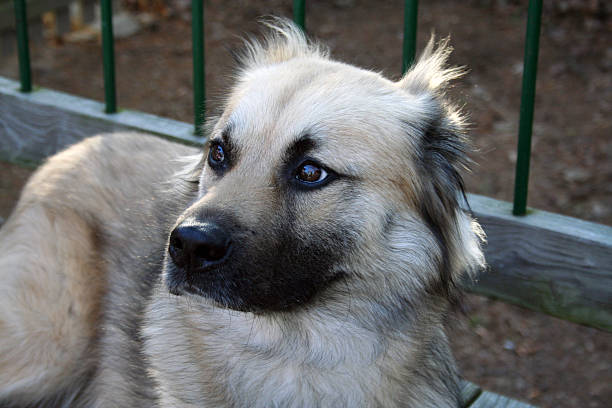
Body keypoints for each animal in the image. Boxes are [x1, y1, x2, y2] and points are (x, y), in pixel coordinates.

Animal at [1, 19, 482, 408]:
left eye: (311, 171)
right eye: (218, 152)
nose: (188, 246)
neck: (292, 352)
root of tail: (70, 150)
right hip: (50, 349)